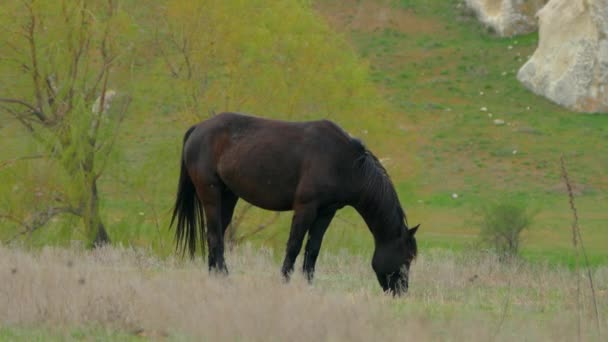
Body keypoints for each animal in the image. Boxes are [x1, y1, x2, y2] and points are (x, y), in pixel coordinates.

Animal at [170, 112, 418, 294]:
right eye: (407, 258)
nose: (401, 292)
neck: (344, 162)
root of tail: (198, 128)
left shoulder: (326, 212)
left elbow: (313, 248)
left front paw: (308, 285)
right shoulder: (305, 208)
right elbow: (294, 245)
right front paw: (284, 281)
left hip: (229, 196)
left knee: (216, 234)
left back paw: (213, 277)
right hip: (210, 194)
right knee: (214, 236)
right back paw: (224, 278)